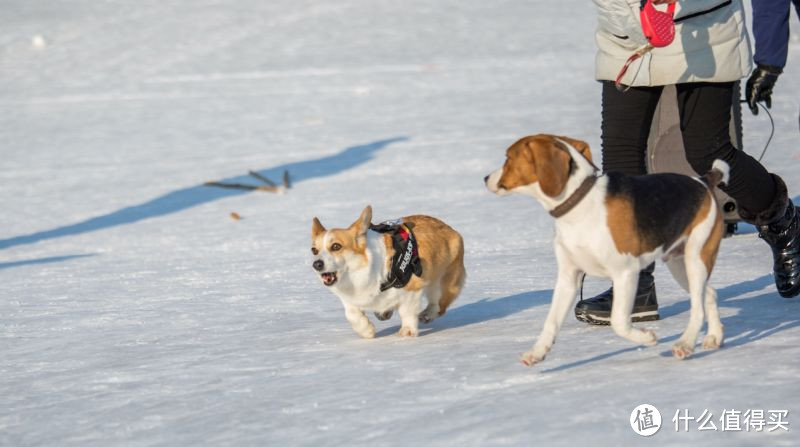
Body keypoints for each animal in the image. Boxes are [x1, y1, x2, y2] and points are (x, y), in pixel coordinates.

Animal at [310, 206, 466, 340]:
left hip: (441, 281)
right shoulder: (349, 298)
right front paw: (366, 331)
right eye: (314, 250)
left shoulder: (412, 288)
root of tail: (451, 230)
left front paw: (406, 333)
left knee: (438, 304)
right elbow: (351, 313)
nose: (316, 264)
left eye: (336, 246)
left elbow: (406, 311)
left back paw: (427, 314)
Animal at [484, 135, 728, 366]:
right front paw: (536, 353)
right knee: (708, 294)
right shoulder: (568, 278)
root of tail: (703, 181)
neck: (579, 204)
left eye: (508, 157)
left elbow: (619, 322)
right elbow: (551, 321)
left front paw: (647, 337)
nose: (486, 178)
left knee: (697, 309)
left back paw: (685, 344)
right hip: (680, 264)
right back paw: (714, 337)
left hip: (695, 258)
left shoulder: (625, 273)